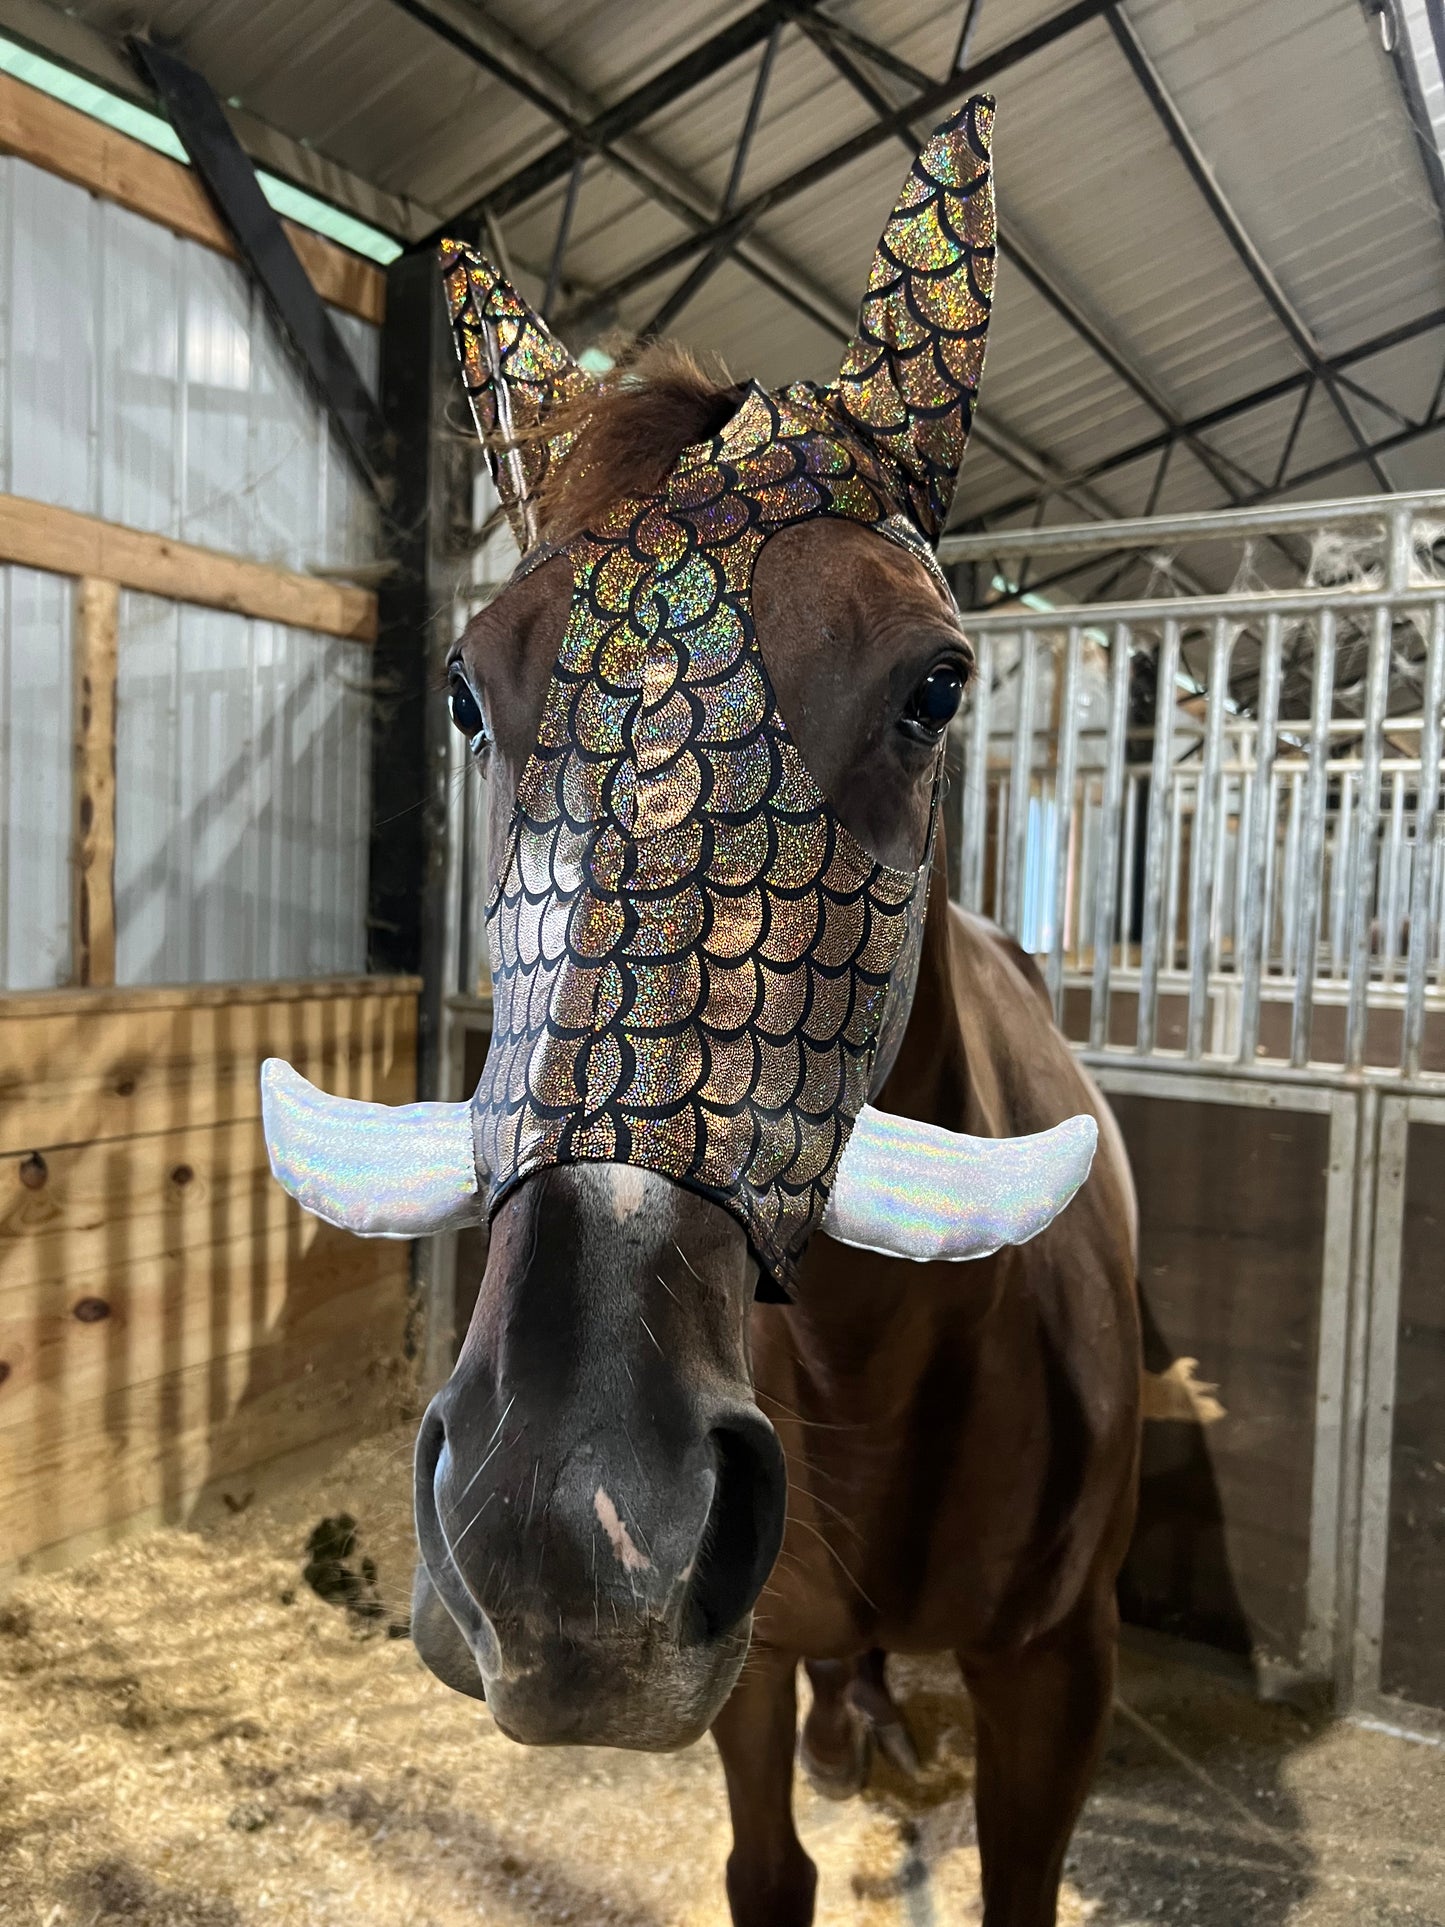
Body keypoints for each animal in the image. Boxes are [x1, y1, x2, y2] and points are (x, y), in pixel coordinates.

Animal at [261, 98, 1142, 1926]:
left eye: (936, 679)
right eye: (466, 687)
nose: (564, 1527)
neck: (886, 1366)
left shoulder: (1062, 1672)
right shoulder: (749, 1654)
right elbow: (766, 1862)